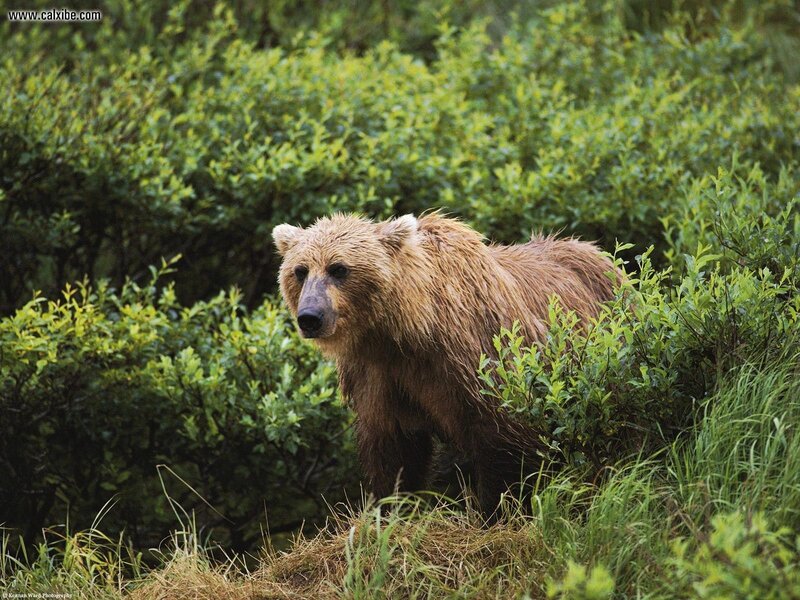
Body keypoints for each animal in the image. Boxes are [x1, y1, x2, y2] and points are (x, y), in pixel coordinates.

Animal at [272, 213, 619, 514]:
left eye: (339, 268)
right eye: (300, 270)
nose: (310, 317)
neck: (409, 332)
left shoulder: (476, 360)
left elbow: (504, 440)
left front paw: (496, 509)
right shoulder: (379, 376)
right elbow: (393, 450)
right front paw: (391, 510)